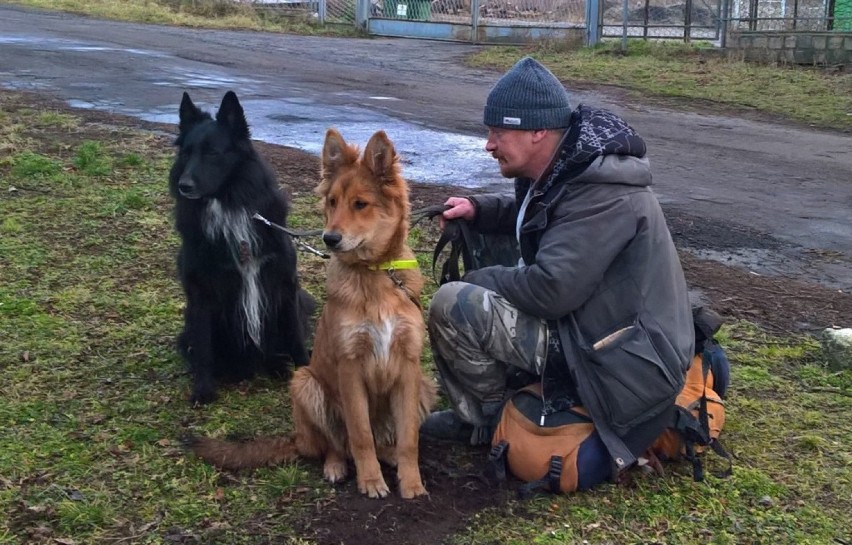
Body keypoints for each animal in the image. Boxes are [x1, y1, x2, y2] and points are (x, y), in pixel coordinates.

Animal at [168, 90, 312, 404]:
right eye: (187, 153)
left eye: (212, 152)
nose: (184, 185)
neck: (228, 205)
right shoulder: (201, 293)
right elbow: (204, 348)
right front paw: (203, 389)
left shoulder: (284, 283)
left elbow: (296, 337)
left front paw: (309, 374)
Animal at [191, 127, 436, 498]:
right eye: (332, 202)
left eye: (360, 204)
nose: (329, 239)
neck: (374, 275)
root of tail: (298, 439)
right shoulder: (349, 367)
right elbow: (359, 435)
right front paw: (370, 481)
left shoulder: (408, 366)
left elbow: (409, 437)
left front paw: (411, 483)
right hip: (306, 383)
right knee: (335, 444)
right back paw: (336, 466)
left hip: (424, 385)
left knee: (381, 441)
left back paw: (389, 455)